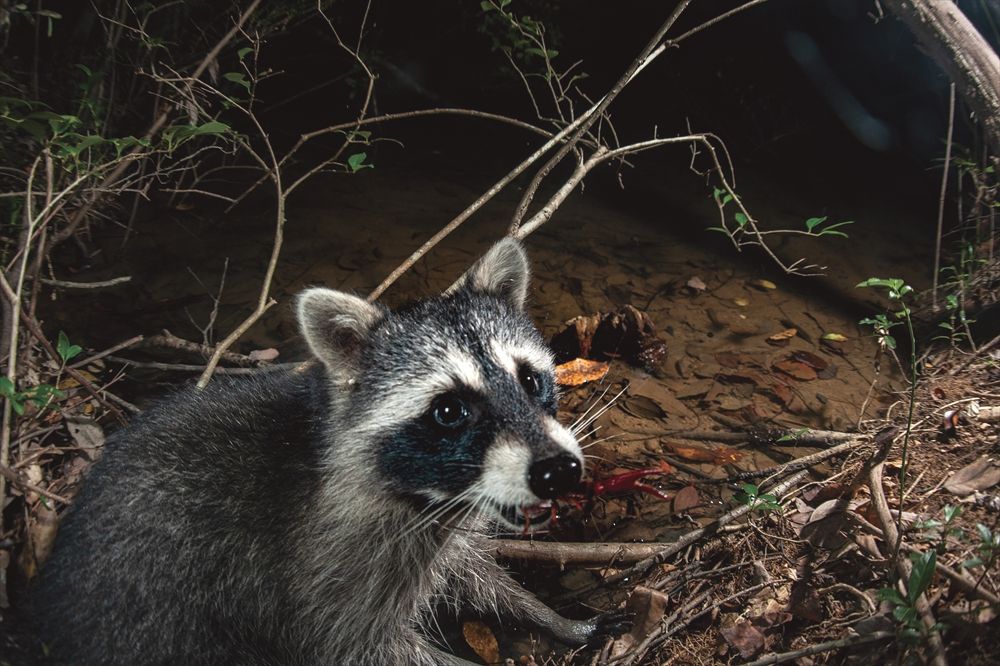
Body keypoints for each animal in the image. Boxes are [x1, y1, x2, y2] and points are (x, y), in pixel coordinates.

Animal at [29, 240, 624, 664]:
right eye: (449, 410)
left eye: (529, 379)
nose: (558, 471)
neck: (426, 497)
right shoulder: (320, 572)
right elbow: (357, 647)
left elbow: (474, 572)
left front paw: (550, 616)